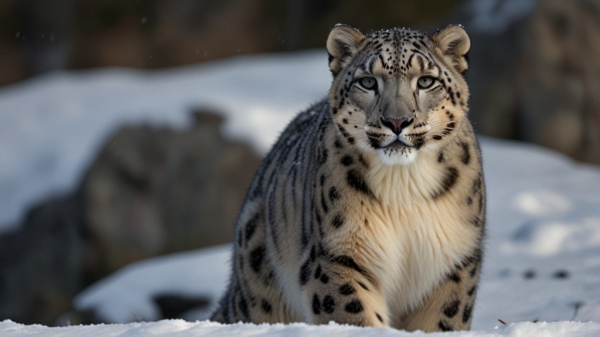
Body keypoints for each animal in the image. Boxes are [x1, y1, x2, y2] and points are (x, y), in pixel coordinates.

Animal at [210, 23, 482, 330]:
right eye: (368, 82)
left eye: (425, 81)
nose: (397, 121)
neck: (404, 186)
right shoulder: (339, 254)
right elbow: (352, 315)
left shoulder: (454, 261)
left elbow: (443, 320)